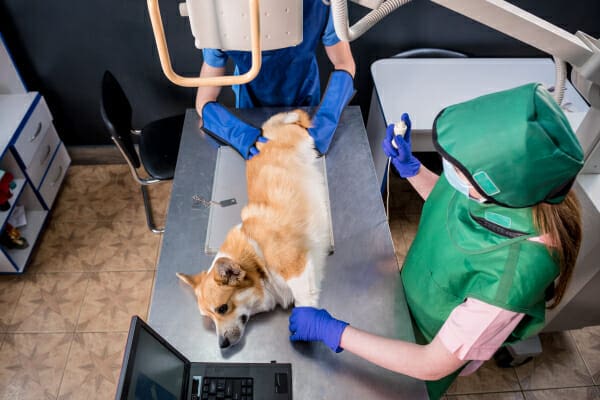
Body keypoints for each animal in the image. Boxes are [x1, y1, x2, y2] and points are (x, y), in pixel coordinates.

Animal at [176, 110, 330, 350]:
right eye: (209, 318)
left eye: (222, 308)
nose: (222, 345)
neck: (257, 263)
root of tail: (263, 133)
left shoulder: (296, 267)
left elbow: (304, 301)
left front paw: (307, 324)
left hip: (300, 138)